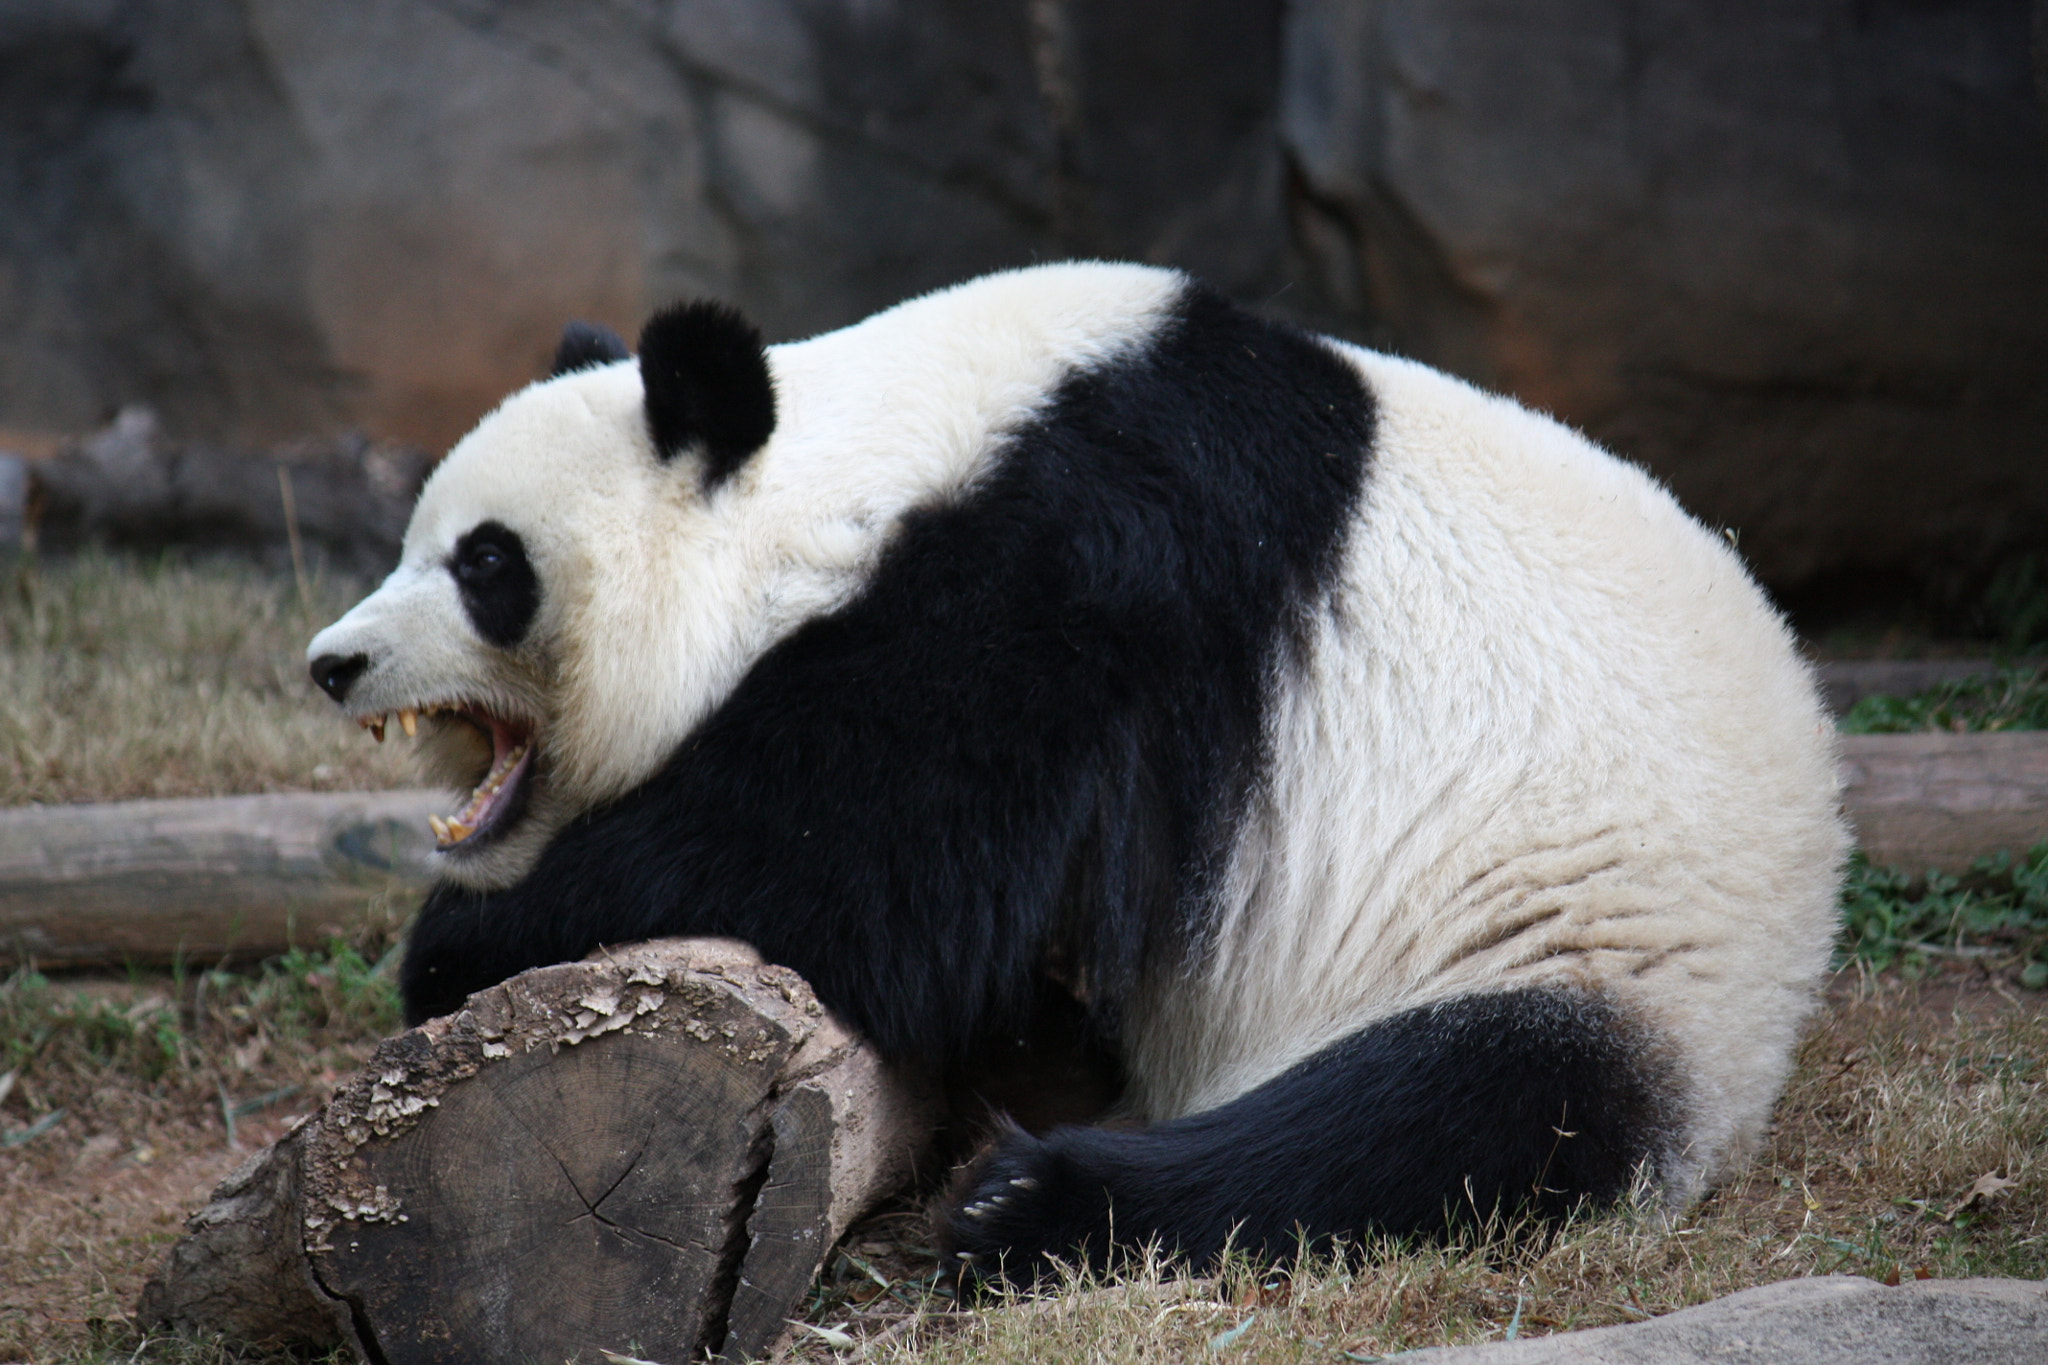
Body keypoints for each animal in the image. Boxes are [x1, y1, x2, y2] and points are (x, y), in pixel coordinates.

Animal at [307, 261, 1845, 1284]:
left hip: (1589, 938)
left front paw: (469, 942)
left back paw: (1031, 1204)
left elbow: (867, 853)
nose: (332, 662)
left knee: (1434, 1126)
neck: (872, 455)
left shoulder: (1083, 567)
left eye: (486, 563)